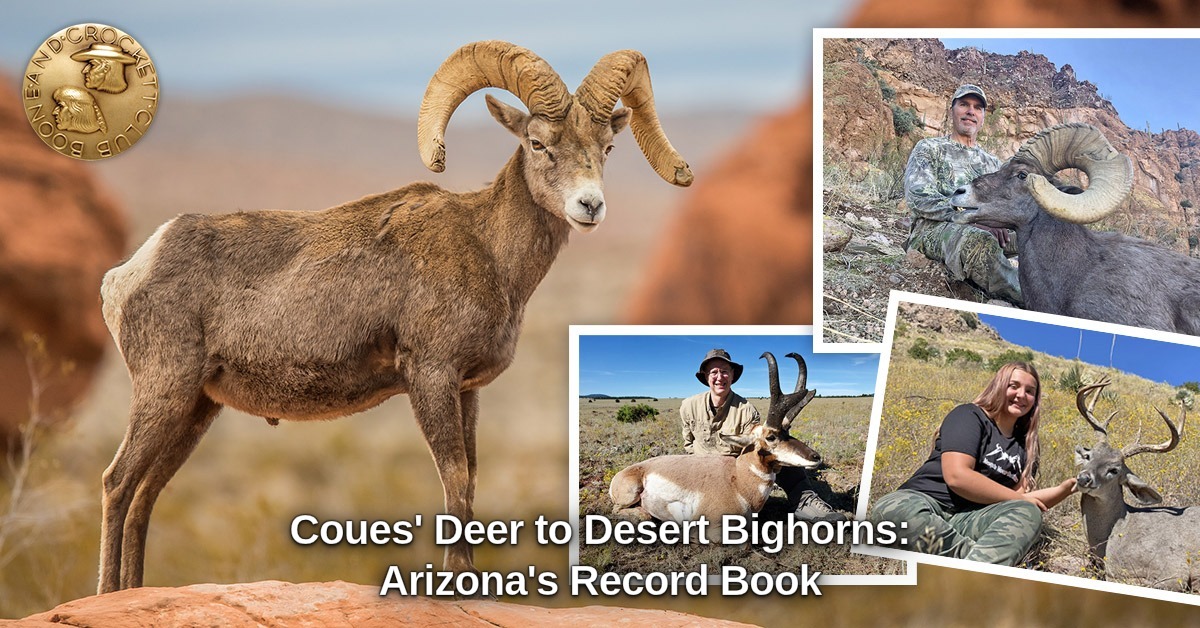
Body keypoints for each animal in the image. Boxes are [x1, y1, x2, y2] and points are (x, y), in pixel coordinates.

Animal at [96, 40, 691, 593]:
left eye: (607, 147)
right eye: (539, 143)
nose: (589, 206)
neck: (487, 251)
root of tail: (129, 272)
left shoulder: (466, 389)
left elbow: (470, 479)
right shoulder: (429, 376)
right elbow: (453, 476)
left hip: (197, 408)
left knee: (146, 493)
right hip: (165, 391)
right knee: (118, 483)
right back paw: (107, 593)